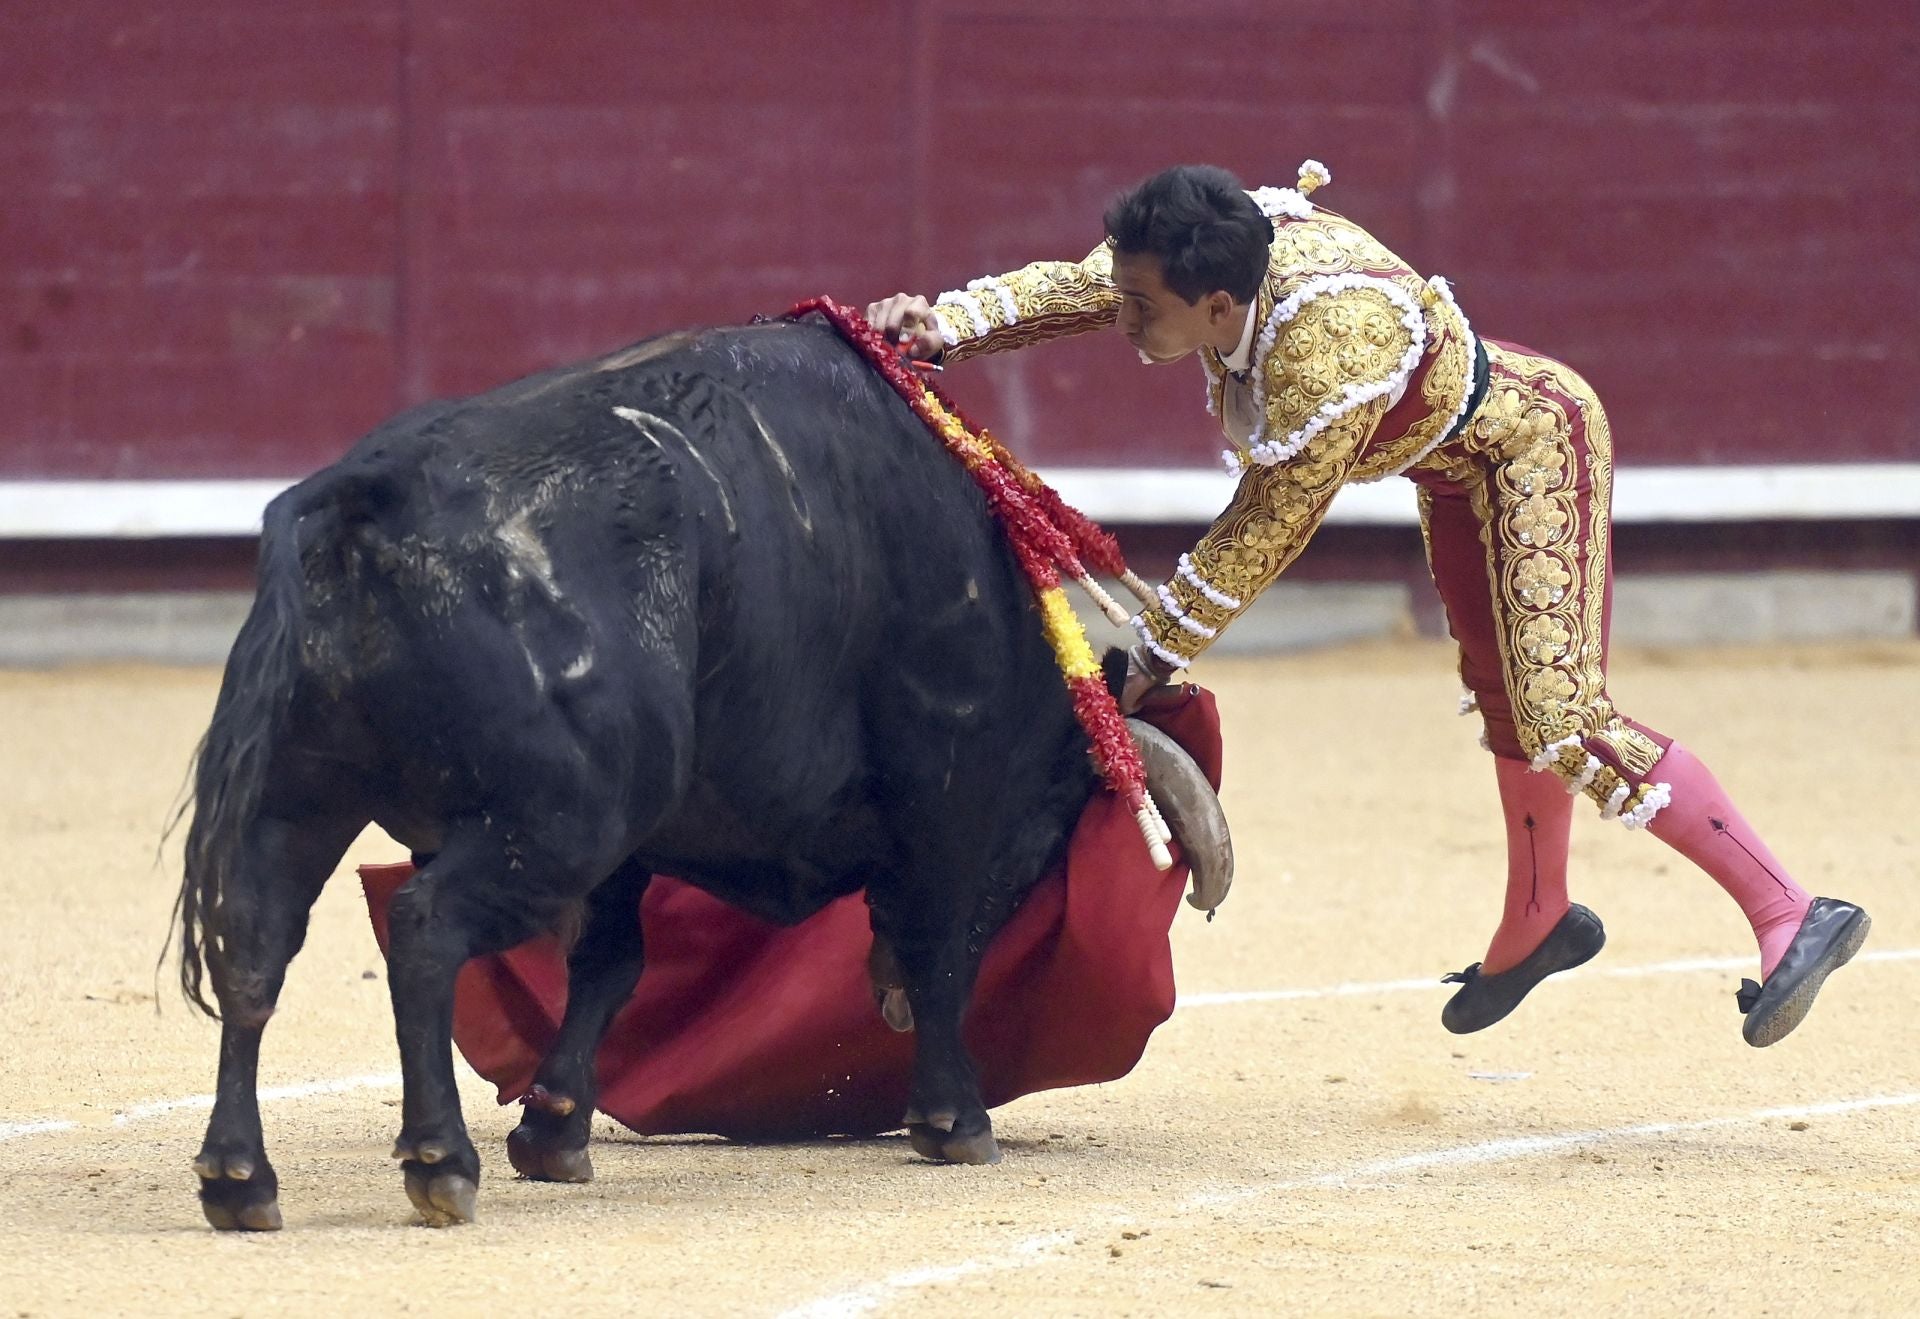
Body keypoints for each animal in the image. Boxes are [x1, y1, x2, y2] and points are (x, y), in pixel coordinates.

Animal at [176, 314, 1228, 1236]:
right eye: (1048, 834)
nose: (876, 995)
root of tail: (371, 491)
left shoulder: (633, 853)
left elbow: (611, 966)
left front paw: (554, 1132)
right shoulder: (948, 795)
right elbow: (939, 949)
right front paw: (954, 1120)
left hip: (302, 799)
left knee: (256, 943)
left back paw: (239, 1178)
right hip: (557, 819)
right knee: (425, 930)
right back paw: (438, 1161)